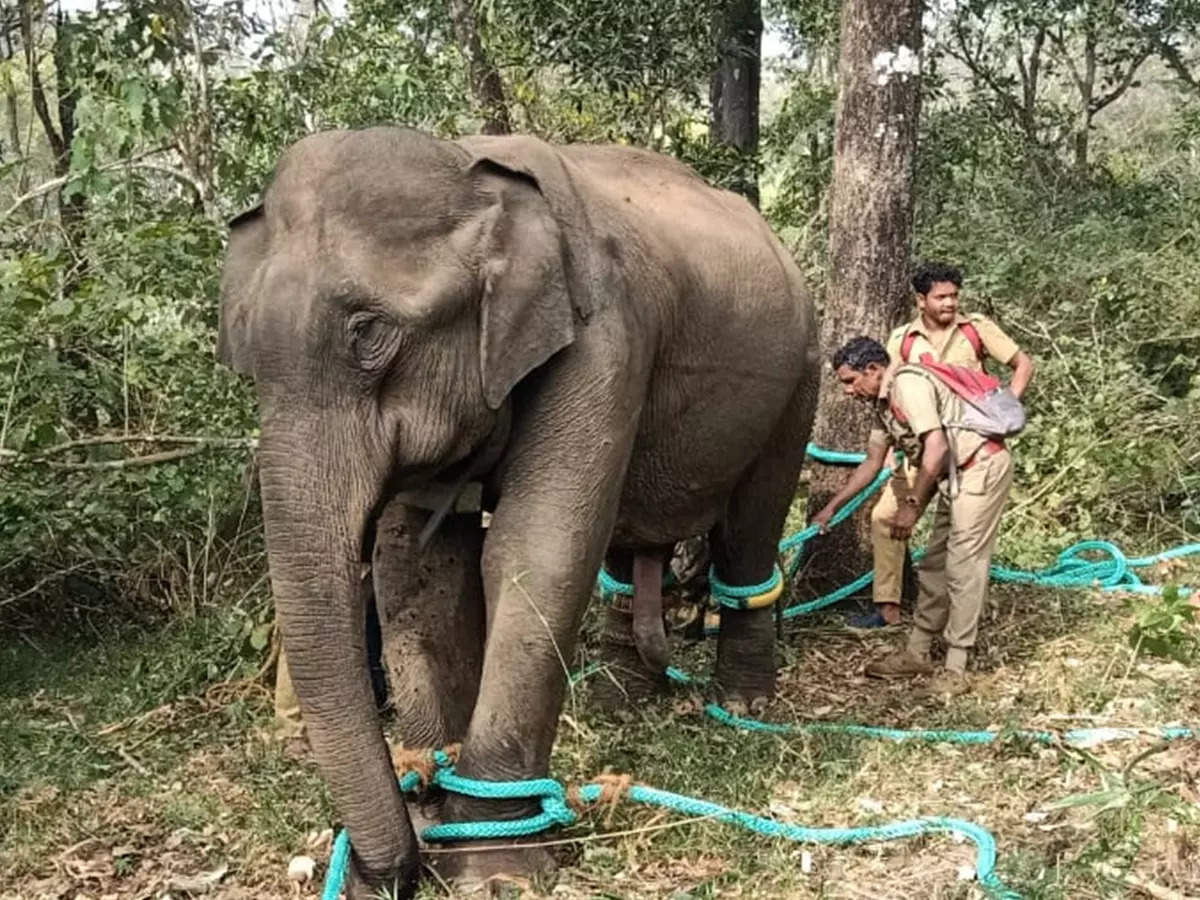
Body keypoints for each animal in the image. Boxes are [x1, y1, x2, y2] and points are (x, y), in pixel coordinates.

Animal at [217, 126, 819, 898]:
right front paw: (440, 808)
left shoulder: (605, 338)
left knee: (752, 526)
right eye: (248, 359)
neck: (469, 166)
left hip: (800, 369)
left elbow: (535, 547)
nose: (385, 872)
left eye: (368, 332)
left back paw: (742, 706)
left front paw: (495, 871)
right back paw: (619, 700)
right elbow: (419, 566)